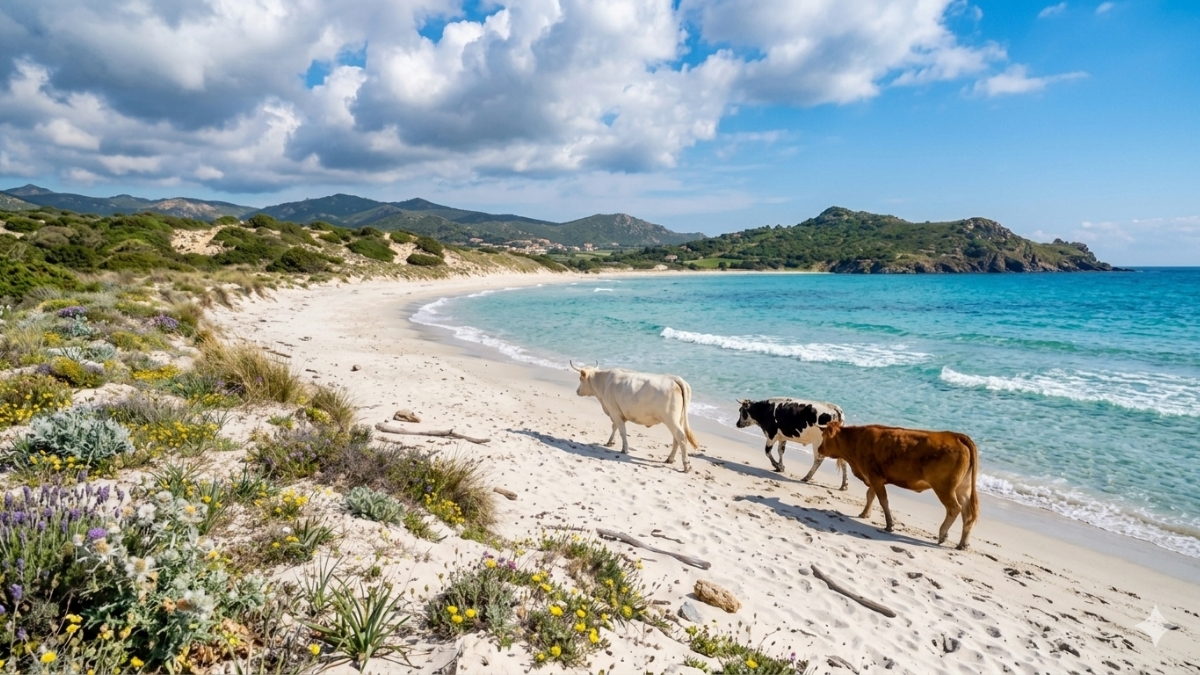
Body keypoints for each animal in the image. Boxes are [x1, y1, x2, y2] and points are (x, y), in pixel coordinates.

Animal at [571, 362, 699, 472]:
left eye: (580, 378)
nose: (577, 391)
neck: (604, 383)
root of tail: (674, 378)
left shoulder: (614, 410)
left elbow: (622, 430)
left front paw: (624, 449)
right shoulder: (616, 412)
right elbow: (615, 427)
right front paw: (610, 441)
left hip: (670, 418)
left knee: (680, 437)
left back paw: (686, 465)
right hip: (678, 419)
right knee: (676, 438)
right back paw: (670, 459)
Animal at [817, 421, 980, 550]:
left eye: (824, 436)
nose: (819, 449)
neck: (856, 442)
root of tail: (955, 436)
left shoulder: (875, 477)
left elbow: (883, 500)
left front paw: (890, 525)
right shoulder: (874, 478)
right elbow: (870, 496)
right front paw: (865, 514)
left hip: (944, 488)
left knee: (955, 508)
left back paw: (942, 535)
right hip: (962, 489)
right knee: (968, 514)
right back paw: (962, 544)